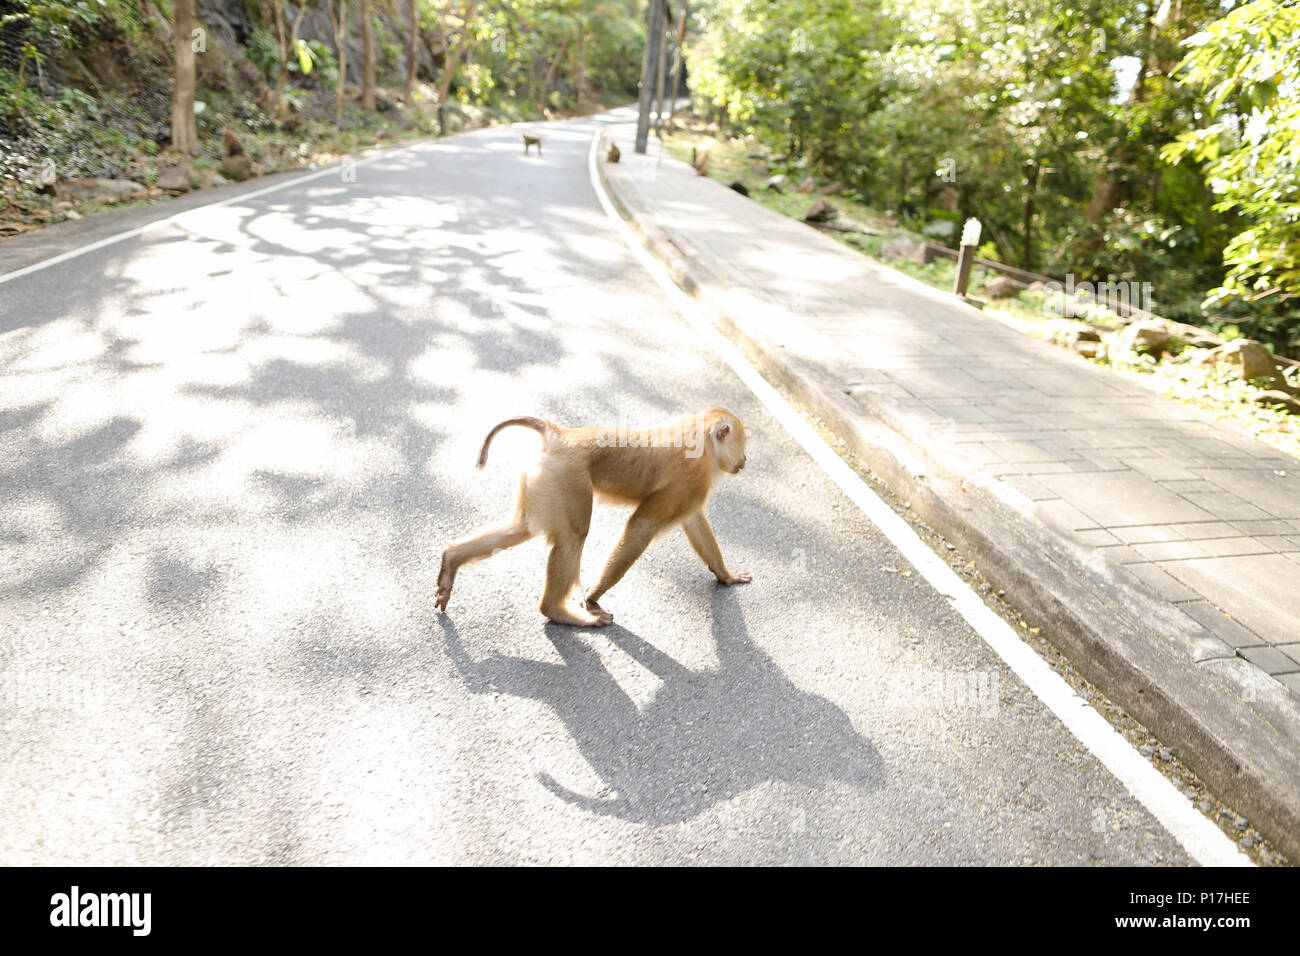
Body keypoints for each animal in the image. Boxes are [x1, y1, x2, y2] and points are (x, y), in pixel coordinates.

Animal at [434, 408, 748, 629]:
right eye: (742, 445)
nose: (745, 461)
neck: (703, 435)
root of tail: (560, 435)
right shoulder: (690, 479)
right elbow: (641, 527)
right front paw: (594, 595)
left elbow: (693, 522)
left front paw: (725, 575)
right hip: (567, 477)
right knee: (574, 536)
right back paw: (557, 612)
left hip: (543, 479)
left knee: (521, 527)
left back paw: (451, 560)